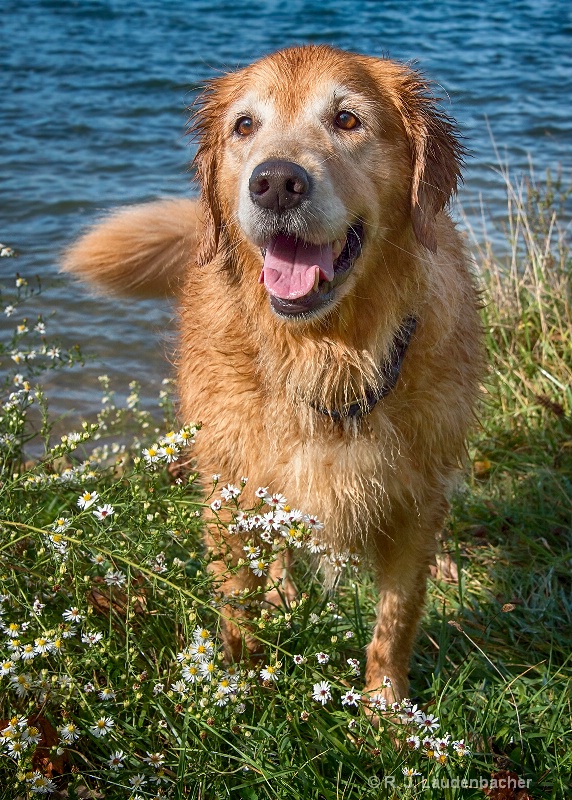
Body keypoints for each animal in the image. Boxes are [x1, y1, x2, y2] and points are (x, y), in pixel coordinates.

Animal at [62, 47, 482, 704]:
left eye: (347, 119)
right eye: (244, 125)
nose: (277, 182)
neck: (327, 357)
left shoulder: (417, 500)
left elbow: (394, 620)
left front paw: (386, 711)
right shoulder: (229, 490)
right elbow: (238, 605)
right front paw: (241, 686)